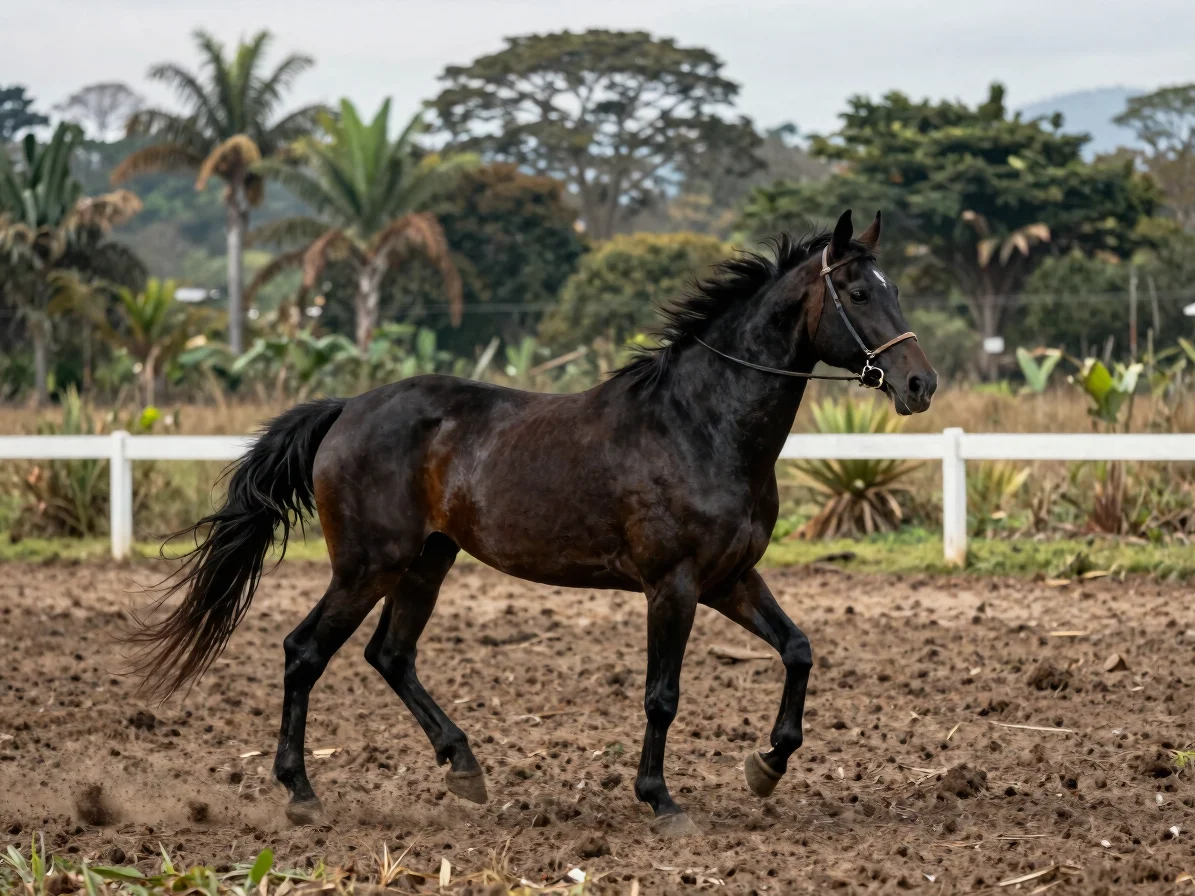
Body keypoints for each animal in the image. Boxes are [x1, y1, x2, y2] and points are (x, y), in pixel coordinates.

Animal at [133, 208, 937, 837]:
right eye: (858, 292)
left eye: (896, 289)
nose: (919, 383)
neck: (700, 425)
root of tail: (346, 409)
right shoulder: (672, 586)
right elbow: (663, 695)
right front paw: (662, 802)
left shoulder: (730, 579)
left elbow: (798, 650)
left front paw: (765, 767)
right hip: (367, 567)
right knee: (305, 652)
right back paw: (302, 794)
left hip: (426, 563)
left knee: (390, 656)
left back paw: (464, 769)